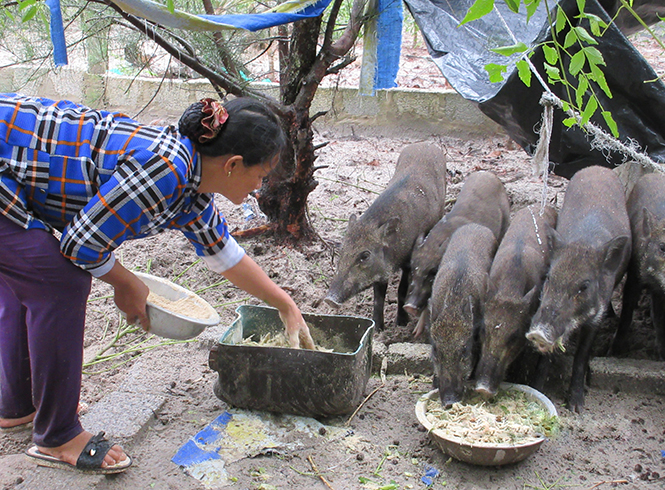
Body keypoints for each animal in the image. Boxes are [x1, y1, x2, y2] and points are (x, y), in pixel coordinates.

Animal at [322, 144, 446, 332]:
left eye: (365, 255)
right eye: (341, 250)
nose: (329, 300)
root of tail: (427, 144)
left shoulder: (408, 262)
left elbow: (401, 290)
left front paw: (401, 323)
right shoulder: (380, 273)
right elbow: (378, 298)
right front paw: (378, 328)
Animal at [524, 166, 628, 414]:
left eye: (584, 286)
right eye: (549, 277)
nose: (537, 332)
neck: (584, 243)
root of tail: (599, 168)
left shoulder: (595, 318)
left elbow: (581, 356)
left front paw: (576, 407)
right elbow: (546, 358)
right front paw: (538, 389)